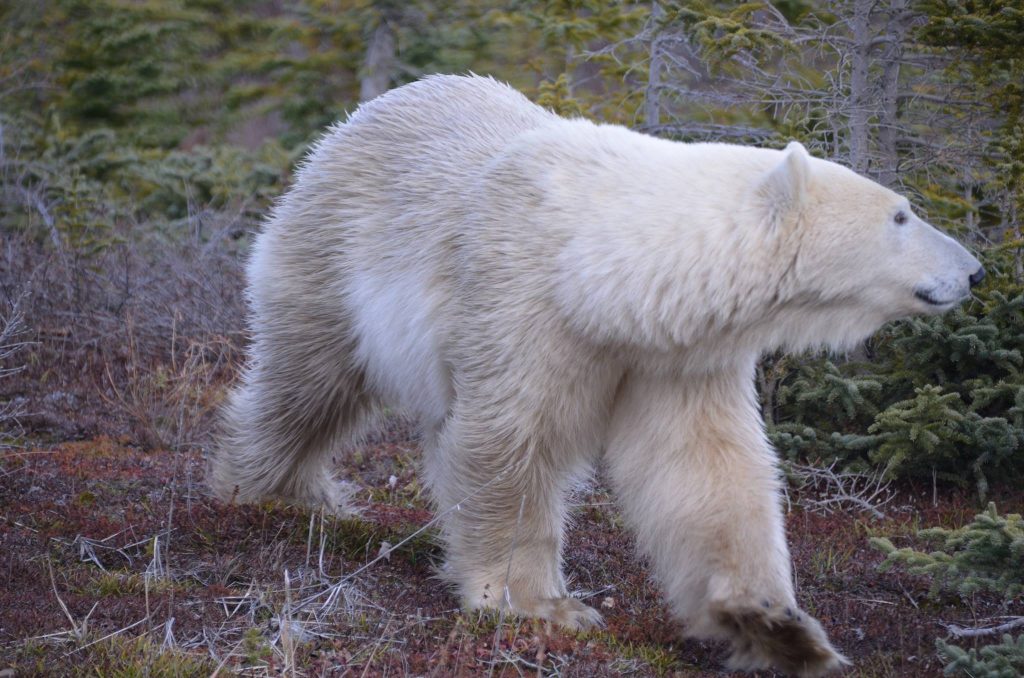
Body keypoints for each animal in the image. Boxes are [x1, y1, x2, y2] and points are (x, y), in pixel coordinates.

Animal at [210, 74, 983, 676]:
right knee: (306, 383)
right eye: (902, 214)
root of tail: (352, 121)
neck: (604, 273)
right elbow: (509, 443)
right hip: (332, 258)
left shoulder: (674, 355)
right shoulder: (523, 300)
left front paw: (777, 626)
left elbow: (703, 468)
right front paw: (535, 605)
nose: (975, 270)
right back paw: (273, 490)